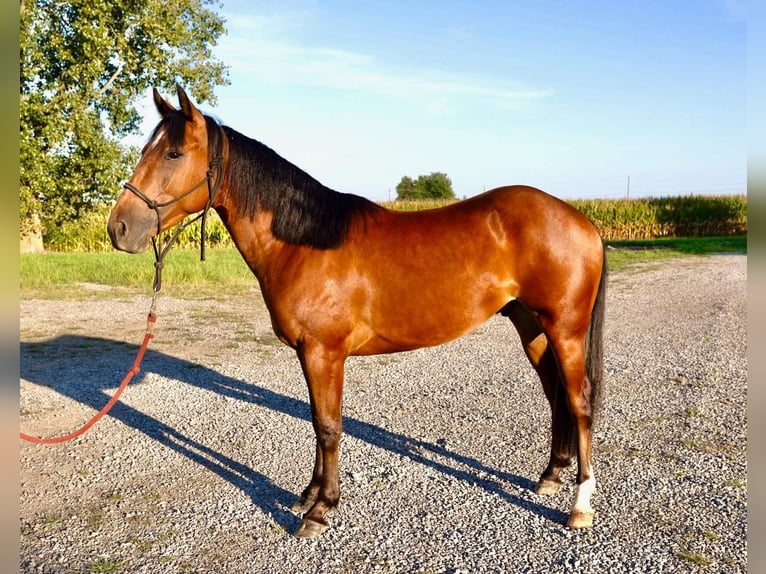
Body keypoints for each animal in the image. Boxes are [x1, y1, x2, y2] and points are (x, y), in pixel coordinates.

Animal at [108, 86, 606, 539]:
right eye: (147, 149)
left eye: (173, 153)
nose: (119, 228)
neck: (306, 242)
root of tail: (580, 219)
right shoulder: (308, 353)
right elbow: (316, 421)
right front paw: (309, 495)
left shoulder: (324, 352)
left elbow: (328, 426)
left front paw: (320, 511)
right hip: (532, 327)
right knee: (556, 394)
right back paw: (550, 476)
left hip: (565, 329)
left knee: (579, 400)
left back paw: (580, 506)